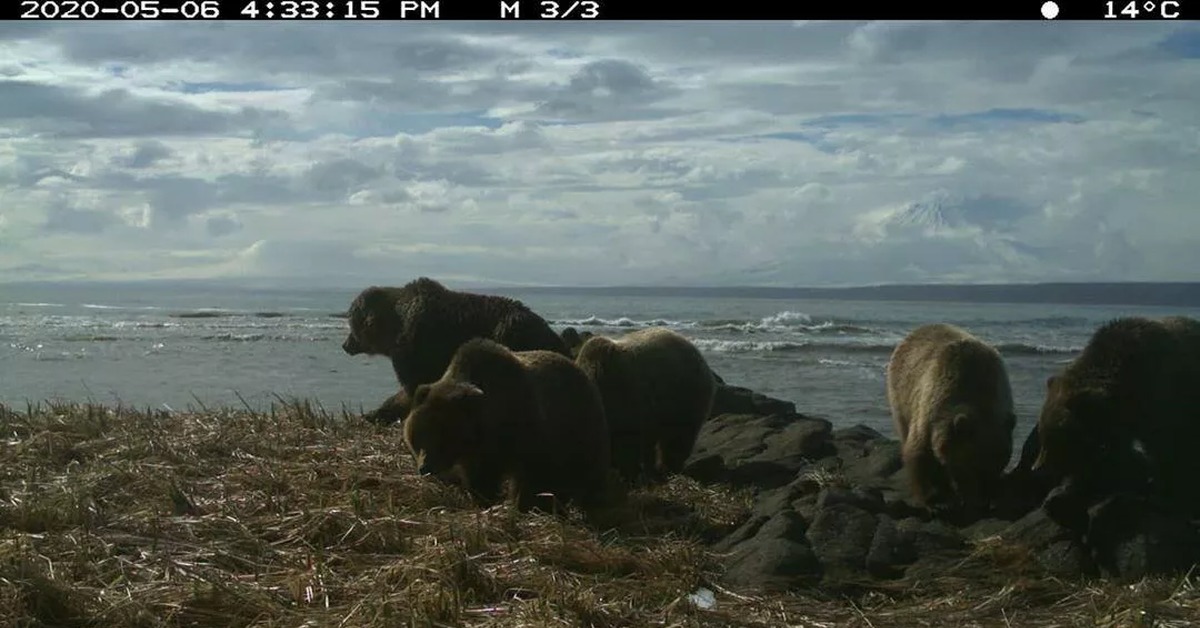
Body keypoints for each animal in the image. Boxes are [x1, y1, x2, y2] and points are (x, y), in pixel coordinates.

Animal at [343, 278, 571, 427]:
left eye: (352, 320)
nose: (346, 345)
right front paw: (373, 414)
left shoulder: (416, 353)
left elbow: (414, 388)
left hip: (511, 338)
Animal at [403, 338, 614, 511]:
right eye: (418, 434)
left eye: (443, 434)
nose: (425, 467)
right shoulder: (480, 454)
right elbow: (479, 480)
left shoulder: (529, 435)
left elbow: (531, 479)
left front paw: (524, 506)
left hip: (581, 426)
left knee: (587, 470)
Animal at [888, 321, 1017, 518]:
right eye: (974, 467)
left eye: (1001, 464)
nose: (984, 502)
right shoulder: (929, 406)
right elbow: (918, 453)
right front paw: (933, 501)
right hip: (900, 394)